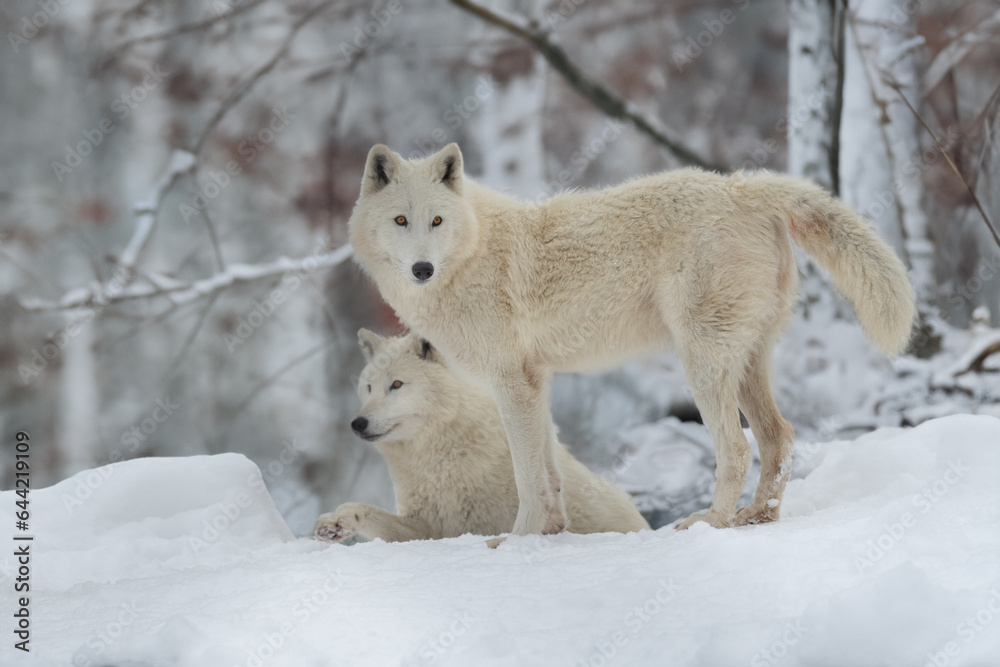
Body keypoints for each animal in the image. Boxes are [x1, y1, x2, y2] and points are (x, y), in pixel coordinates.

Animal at [312, 328, 648, 544]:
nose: (358, 423)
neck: (437, 456)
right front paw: (336, 523)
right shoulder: (425, 526)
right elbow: (362, 509)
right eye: (368, 388)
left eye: (396, 384)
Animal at [348, 144, 916, 536]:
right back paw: (755, 517)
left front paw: (514, 541)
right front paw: (552, 534)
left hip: (702, 365)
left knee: (736, 447)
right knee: (780, 437)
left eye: (436, 220)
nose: (422, 269)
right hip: (748, 363)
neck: (474, 251)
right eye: (400, 220)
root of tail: (741, 186)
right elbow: (551, 473)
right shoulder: (537, 381)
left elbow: (528, 477)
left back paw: (711, 523)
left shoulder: (511, 382)